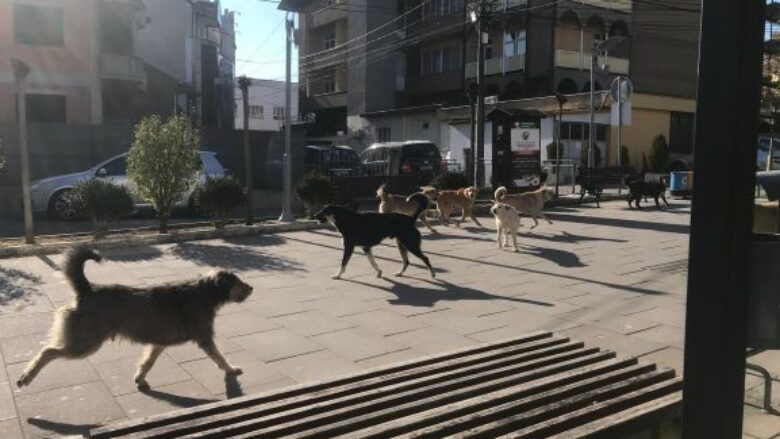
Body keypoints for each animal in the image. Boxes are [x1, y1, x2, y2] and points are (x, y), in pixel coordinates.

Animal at [16, 246, 253, 390]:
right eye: (237, 282)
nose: (251, 288)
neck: (204, 291)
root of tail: (87, 289)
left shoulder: (158, 343)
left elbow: (147, 362)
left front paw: (140, 378)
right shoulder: (204, 338)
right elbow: (219, 357)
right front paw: (231, 369)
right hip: (84, 343)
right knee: (48, 351)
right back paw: (27, 376)